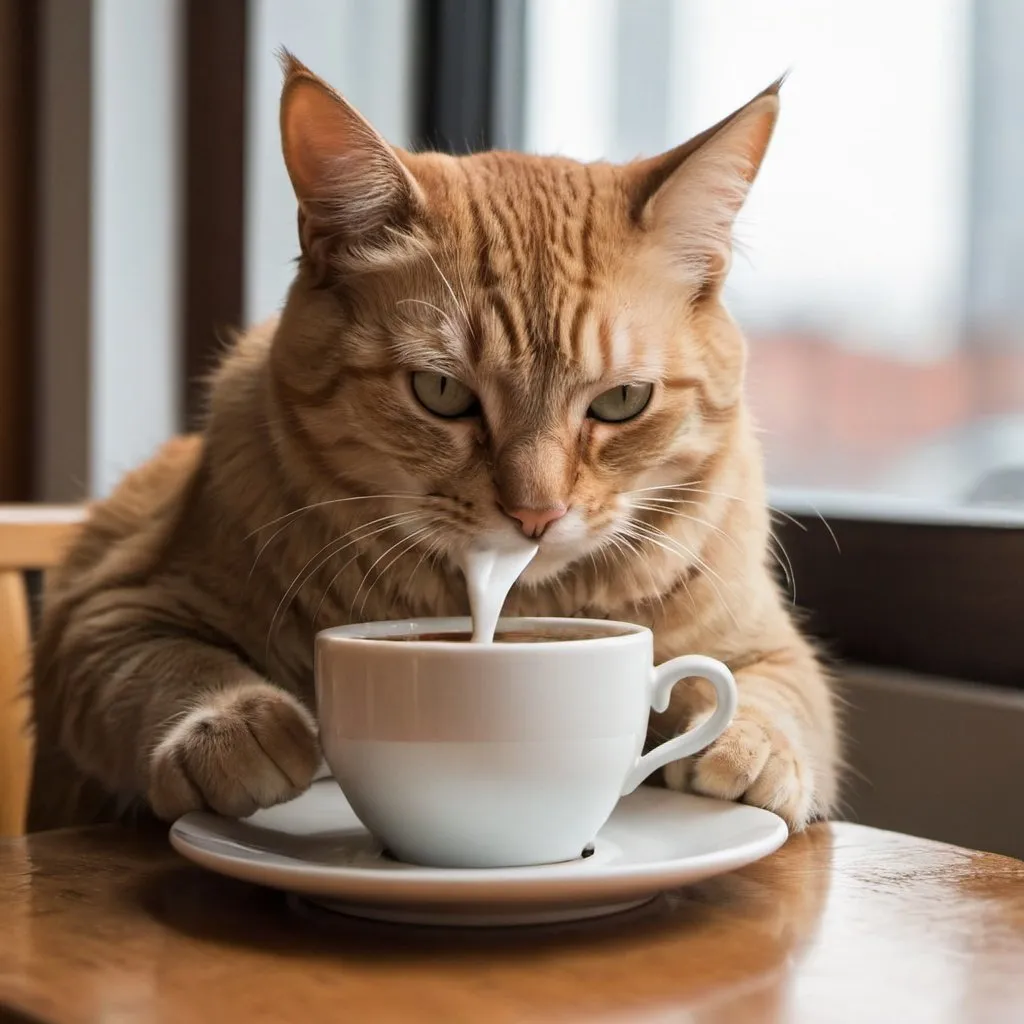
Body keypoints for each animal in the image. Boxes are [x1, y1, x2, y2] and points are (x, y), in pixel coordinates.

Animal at [28, 54, 839, 831]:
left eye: (621, 401)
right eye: (441, 393)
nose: (536, 515)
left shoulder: (765, 644)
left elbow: (778, 692)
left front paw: (748, 746)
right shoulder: (110, 606)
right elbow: (173, 665)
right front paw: (239, 727)